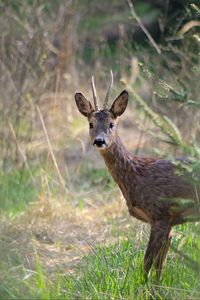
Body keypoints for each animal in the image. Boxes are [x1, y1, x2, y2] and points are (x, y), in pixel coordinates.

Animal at [74, 71, 198, 280]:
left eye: (112, 124)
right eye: (91, 124)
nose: (99, 141)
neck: (136, 174)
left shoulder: (161, 214)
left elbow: (148, 263)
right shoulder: (168, 222)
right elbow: (159, 265)